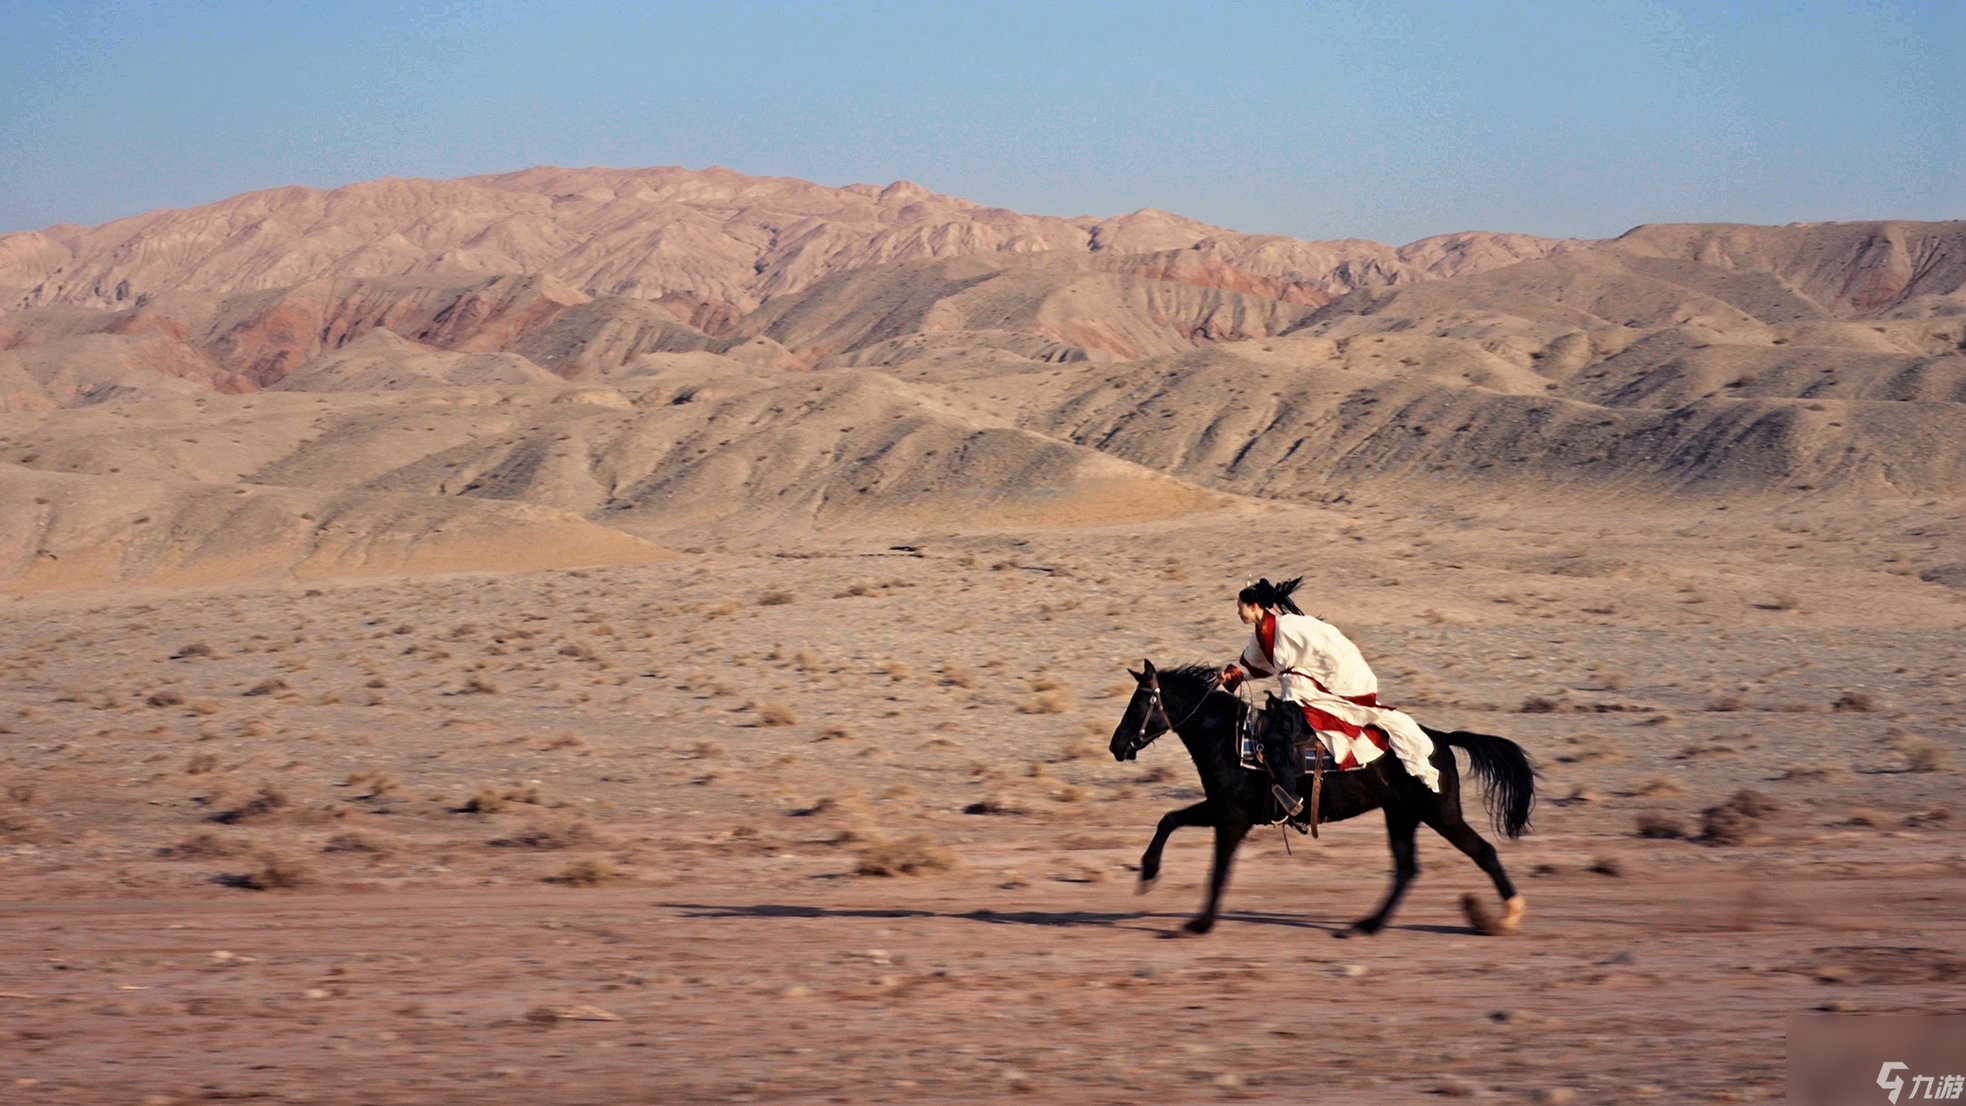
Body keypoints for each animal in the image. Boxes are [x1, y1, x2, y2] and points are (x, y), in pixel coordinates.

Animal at [1108, 663, 1533, 939]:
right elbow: (1169, 819)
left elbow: (1218, 870)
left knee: (1483, 853)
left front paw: (1199, 924)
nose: (1117, 745)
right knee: (1406, 869)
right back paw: (1366, 925)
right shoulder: (1221, 810)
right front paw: (1147, 872)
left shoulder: (1230, 817)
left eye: (1139, 704)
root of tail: (1442, 738)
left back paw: (1505, 918)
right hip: (1401, 815)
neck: (1228, 739)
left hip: (1440, 812)